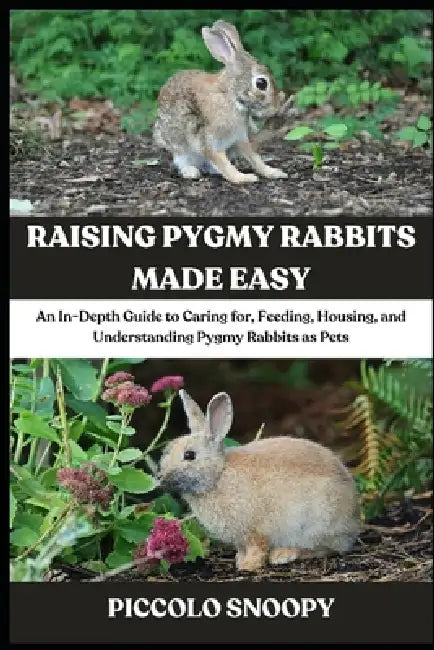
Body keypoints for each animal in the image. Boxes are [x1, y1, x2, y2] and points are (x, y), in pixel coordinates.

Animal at [153, 20, 289, 184]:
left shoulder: (240, 137)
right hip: (179, 146)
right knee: (183, 161)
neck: (230, 96)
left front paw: (273, 172)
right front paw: (243, 178)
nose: (275, 107)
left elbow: (254, 157)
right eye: (261, 83)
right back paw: (191, 172)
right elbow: (222, 162)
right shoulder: (209, 140)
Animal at [159, 390, 361, 572]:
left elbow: (257, 548)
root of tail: (353, 518)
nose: (161, 477)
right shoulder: (240, 539)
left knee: (324, 548)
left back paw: (283, 554)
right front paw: (239, 560)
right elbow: (242, 549)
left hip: (316, 524)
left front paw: (248, 566)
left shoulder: (255, 531)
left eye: (189, 455)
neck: (218, 476)